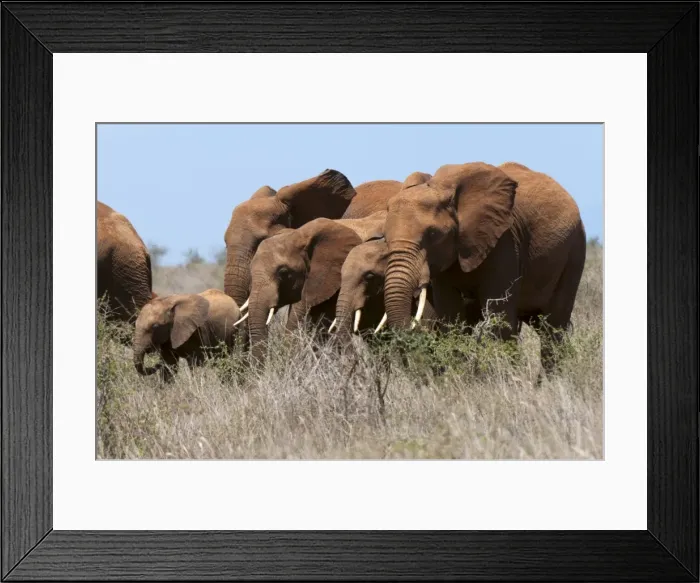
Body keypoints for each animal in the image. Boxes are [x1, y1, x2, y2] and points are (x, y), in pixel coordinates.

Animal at [383, 161, 587, 374]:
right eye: (384, 237)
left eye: (433, 234)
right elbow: (452, 316)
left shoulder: (505, 242)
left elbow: (498, 318)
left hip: (574, 252)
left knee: (553, 327)